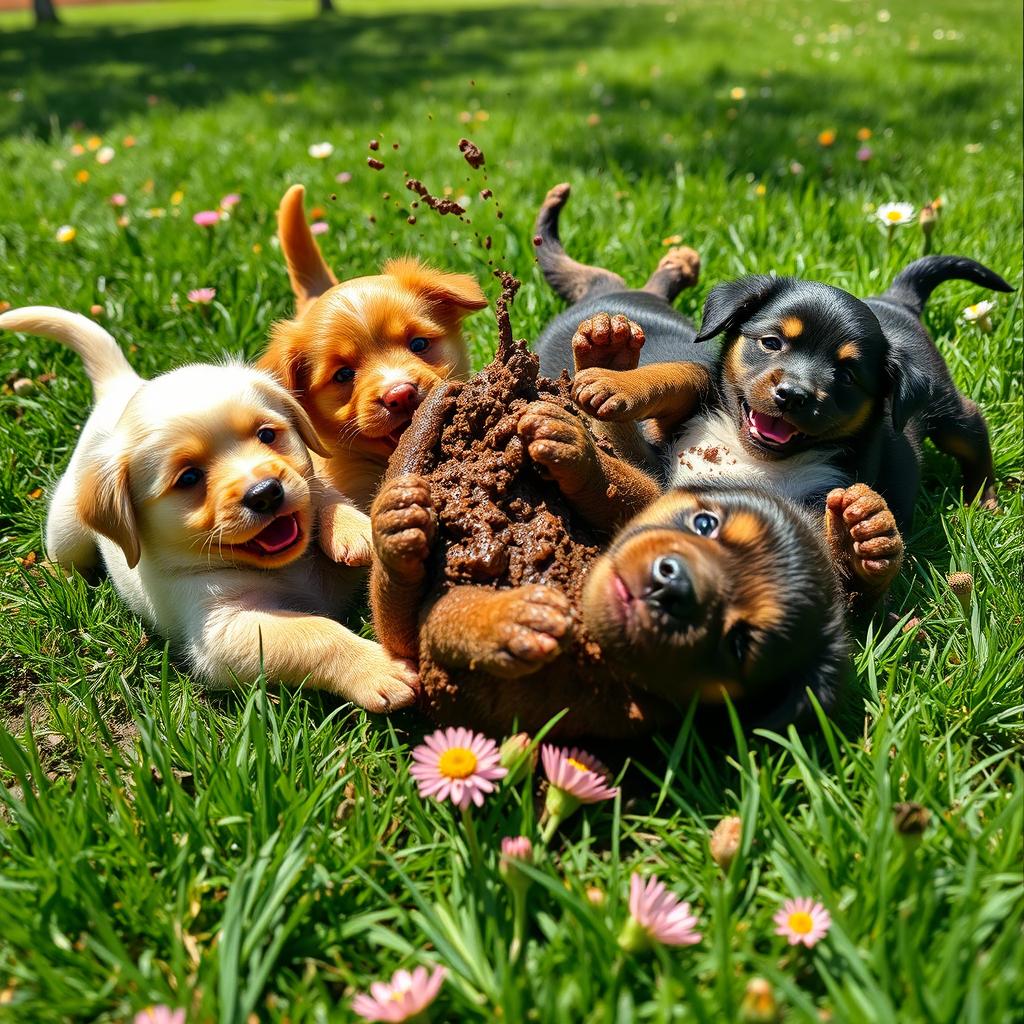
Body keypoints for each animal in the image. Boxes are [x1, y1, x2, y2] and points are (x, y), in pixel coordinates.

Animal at [1, 303, 415, 712]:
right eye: (188, 478)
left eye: (267, 434)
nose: (266, 492)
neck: (286, 568)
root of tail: (120, 386)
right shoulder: (222, 628)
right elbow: (314, 633)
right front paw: (378, 669)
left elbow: (322, 492)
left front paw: (354, 529)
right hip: (66, 525)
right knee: (65, 554)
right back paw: (60, 582)